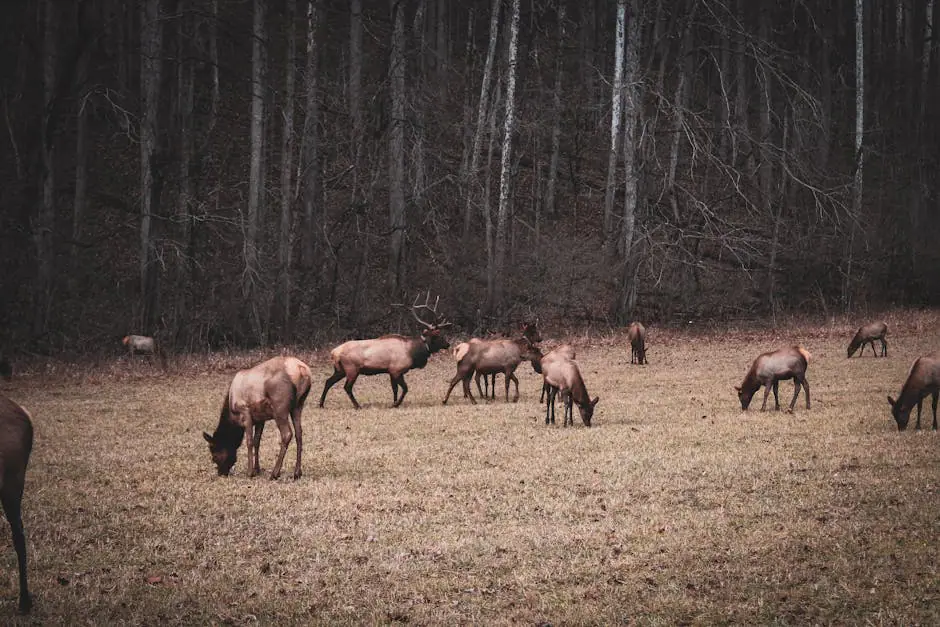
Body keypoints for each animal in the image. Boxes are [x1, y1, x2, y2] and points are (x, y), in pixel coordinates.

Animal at [320, 294, 452, 409]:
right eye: (438, 335)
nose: (448, 344)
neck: (412, 352)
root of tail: (334, 352)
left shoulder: (391, 371)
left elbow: (395, 389)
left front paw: (394, 403)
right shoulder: (396, 370)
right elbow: (405, 389)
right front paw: (396, 404)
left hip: (340, 370)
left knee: (328, 381)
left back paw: (321, 404)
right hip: (352, 369)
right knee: (347, 387)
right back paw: (357, 405)